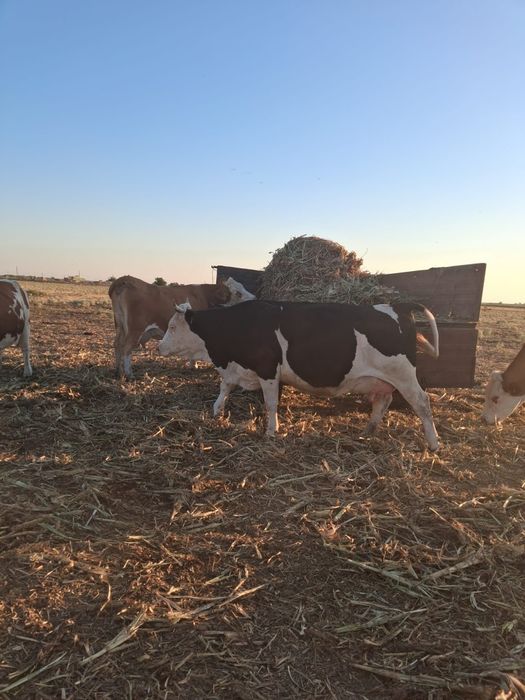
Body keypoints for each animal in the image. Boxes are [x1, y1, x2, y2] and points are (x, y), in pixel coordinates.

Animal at [109, 275, 255, 378]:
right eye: (238, 292)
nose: (254, 298)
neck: (206, 296)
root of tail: (125, 279)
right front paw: (194, 364)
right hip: (135, 330)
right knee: (126, 348)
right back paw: (129, 374)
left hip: (120, 327)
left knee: (117, 345)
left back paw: (117, 371)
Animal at [158, 300, 440, 450]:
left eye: (172, 327)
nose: (159, 346)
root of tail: (397, 305)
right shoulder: (235, 368)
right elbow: (224, 389)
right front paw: (217, 413)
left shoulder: (267, 369)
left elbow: (271, 403)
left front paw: (271, 431)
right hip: (383, 379)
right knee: (383, 401)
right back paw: (368, 430)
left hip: (404, 375)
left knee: (422, 403)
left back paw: (434, 443)